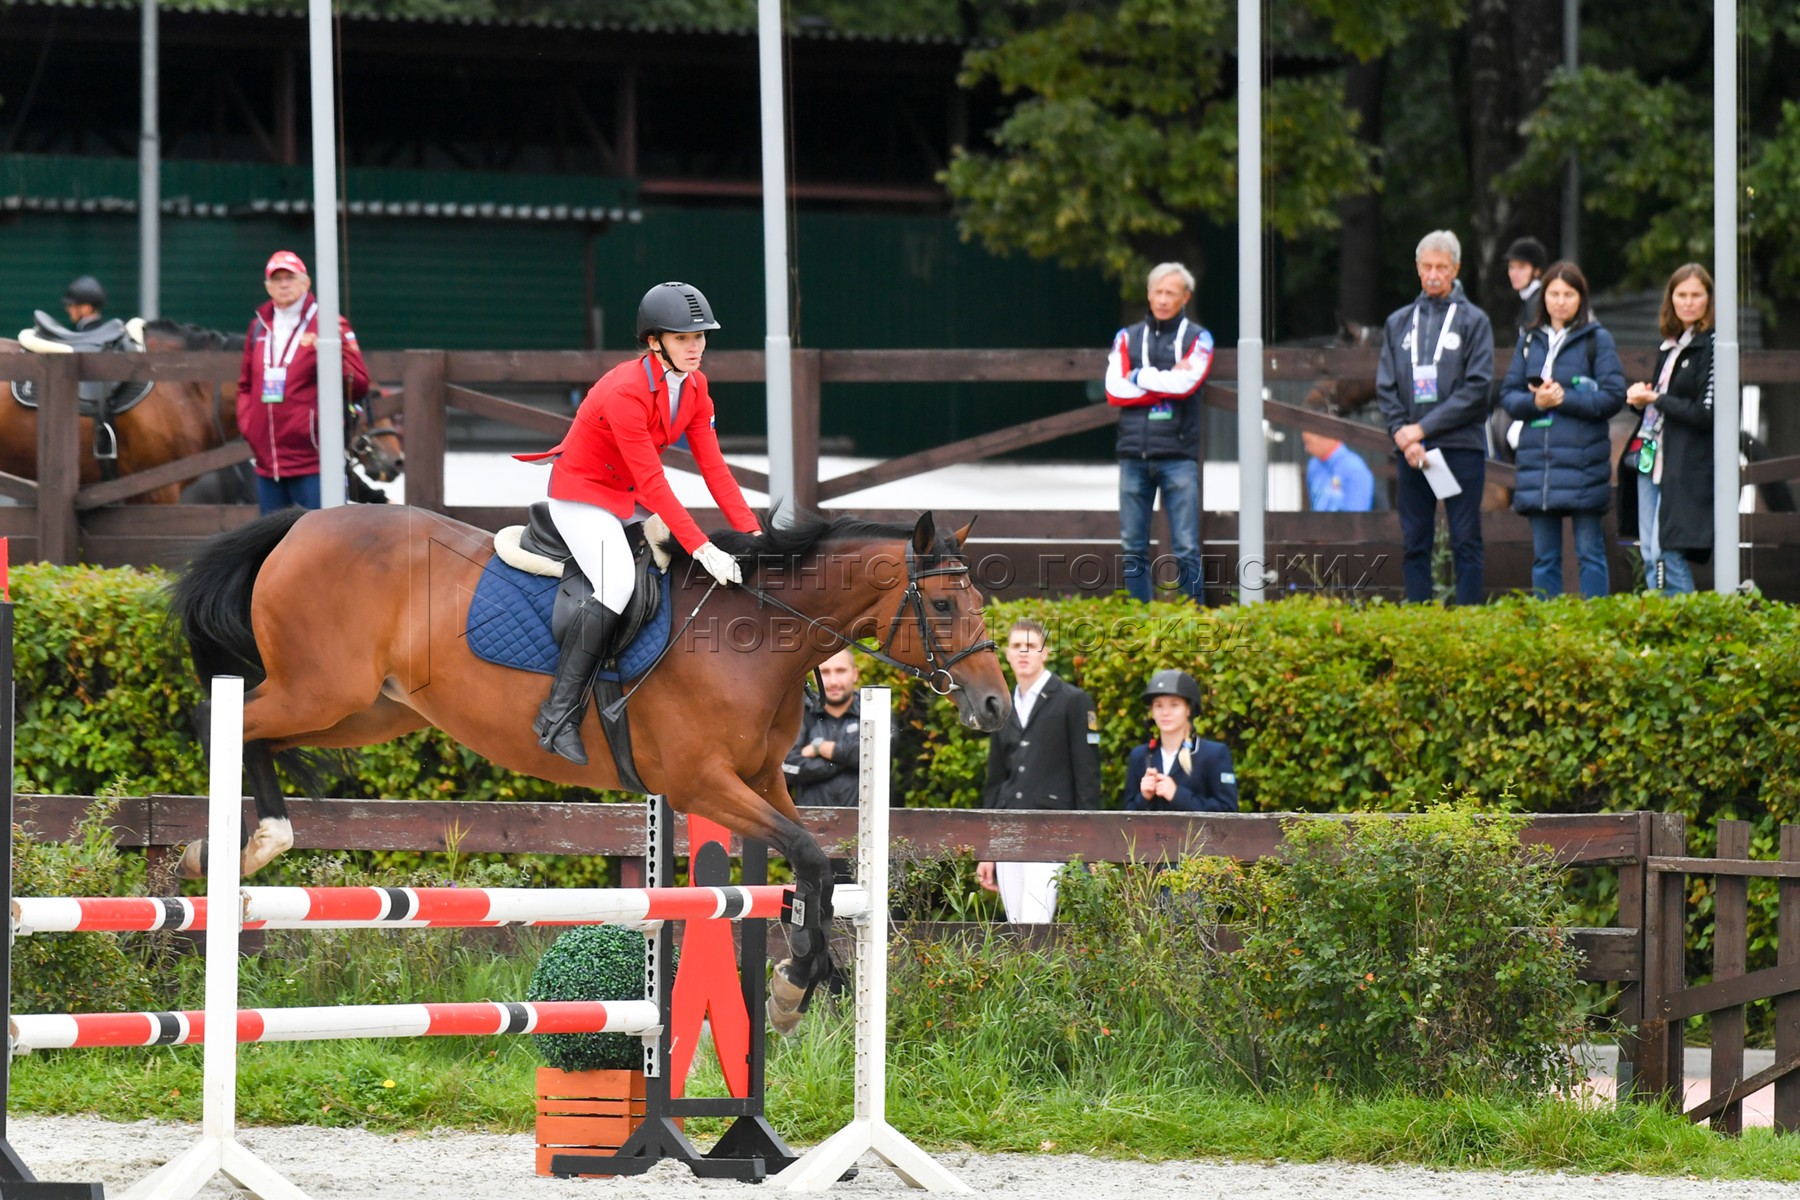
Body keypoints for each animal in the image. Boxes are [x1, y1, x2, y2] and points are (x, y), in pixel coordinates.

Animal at [168, 505, 1010, 1031]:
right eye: (943, 608)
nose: (997, 706)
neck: (756, 633)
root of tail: (305, 522)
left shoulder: (762, 780)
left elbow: (820, 870)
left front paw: (805, 982)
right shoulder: (700, 783)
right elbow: (806, 856)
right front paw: (794, 986)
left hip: (370, 708)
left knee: (261, 734)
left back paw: (248, 844)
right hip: (322, 688)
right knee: (222, 717)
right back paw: (237, 845)